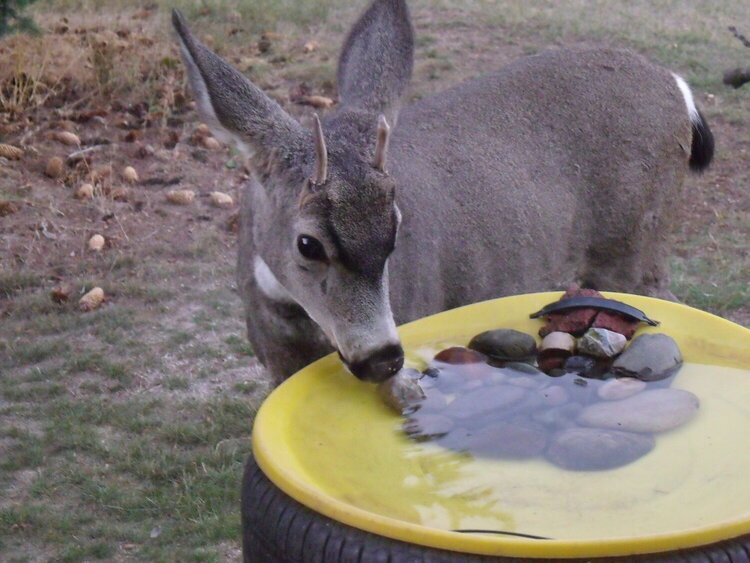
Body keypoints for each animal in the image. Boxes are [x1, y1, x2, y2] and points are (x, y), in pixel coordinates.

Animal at [170, 0, 716, 388]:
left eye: (395, 227)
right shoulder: (275, 369)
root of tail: (679, 86)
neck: (301, 332)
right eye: (308, 243)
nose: (382, 358)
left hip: (634, 241)